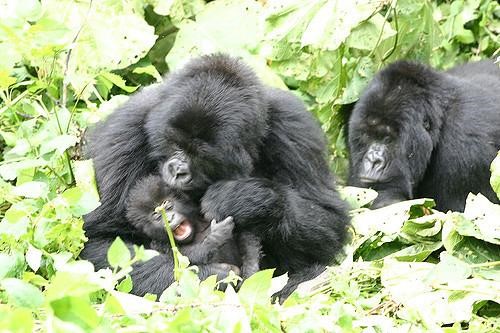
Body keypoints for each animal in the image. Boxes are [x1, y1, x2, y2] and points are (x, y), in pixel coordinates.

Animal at [125, 175, 262, 278]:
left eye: (168, 205)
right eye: (157, 217)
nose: (169, 219)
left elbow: (245, 236)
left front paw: (251, 266)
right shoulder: (159, 244)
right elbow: (183, 260)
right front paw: (216, 237)